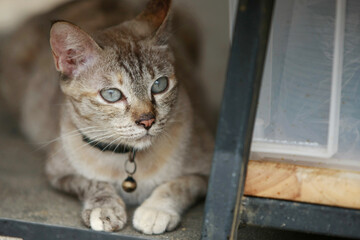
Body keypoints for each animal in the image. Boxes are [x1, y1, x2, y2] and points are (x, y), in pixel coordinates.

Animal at [0, 0, 214, 234]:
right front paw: (105, 210)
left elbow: (178, 185)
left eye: (160, 85)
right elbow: (94, 183)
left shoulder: (208, 172)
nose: (147, 120)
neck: (127, 158)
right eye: (112, 95)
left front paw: (156, 211)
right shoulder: (57, 173)